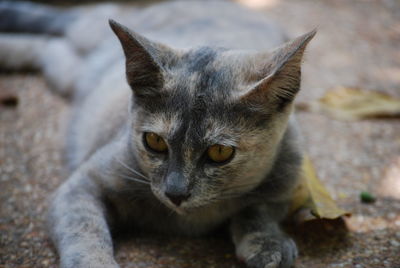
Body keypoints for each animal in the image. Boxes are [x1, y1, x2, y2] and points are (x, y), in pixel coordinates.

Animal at [0, 1, 316, 266]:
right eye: (154, 141)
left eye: (220, 152)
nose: (175, 193)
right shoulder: (81, 186)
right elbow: (83, 228)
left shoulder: (285, 183)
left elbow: (258, 211)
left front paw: (269, 245)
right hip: (87, 37)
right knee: (68, 22)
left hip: (68, 71)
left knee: (49, 47)